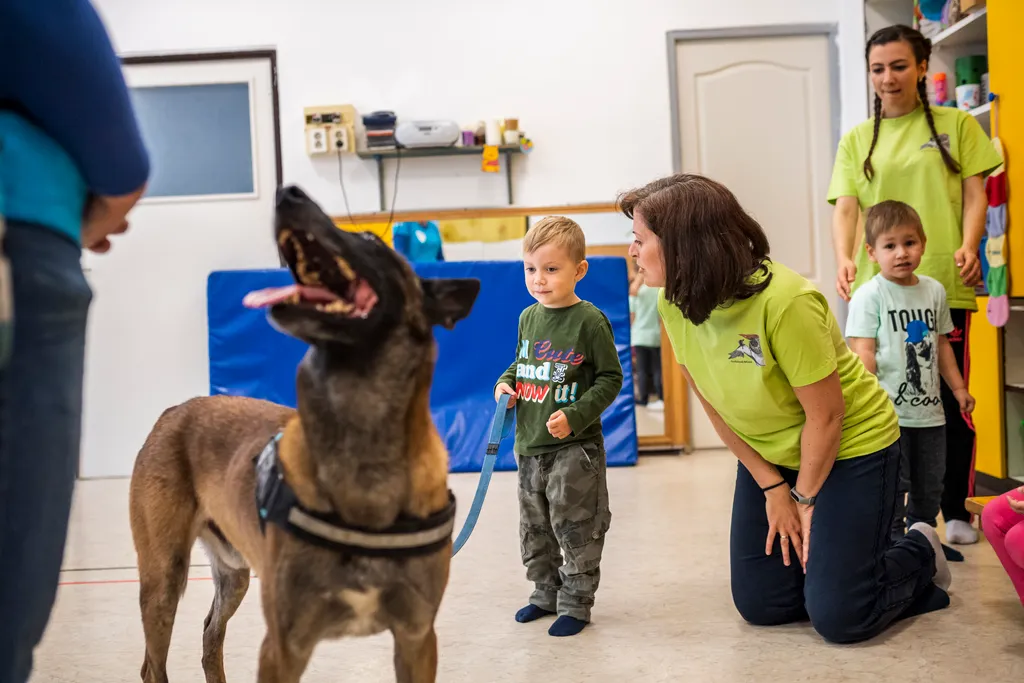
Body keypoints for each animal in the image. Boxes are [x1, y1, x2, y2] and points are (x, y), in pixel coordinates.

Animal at [129, 184, 479, 679]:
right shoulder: (284, 645)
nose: (287, 192)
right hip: (163, 579)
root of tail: (176, 410)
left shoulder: (416, 639)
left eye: (370, 240)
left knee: (209, 637)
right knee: (153, 665)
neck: (364, 448)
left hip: (233, 576)